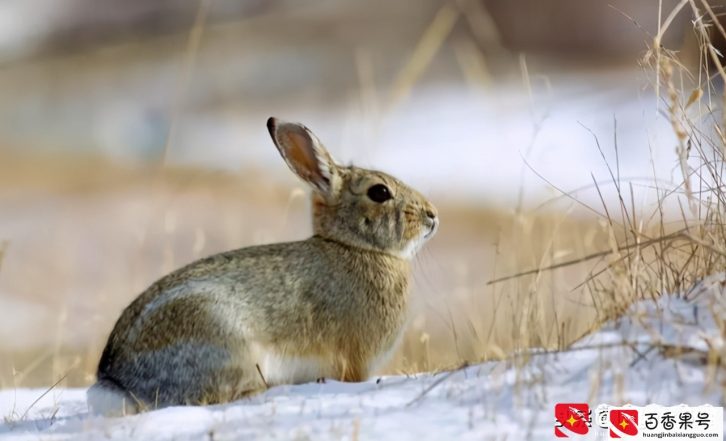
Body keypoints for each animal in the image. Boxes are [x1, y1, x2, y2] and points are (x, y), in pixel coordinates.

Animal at [85, 116, 438, 412]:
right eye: (379, 192)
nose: (432, 215)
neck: (355, 246)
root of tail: (117, 383)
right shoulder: (356, 360)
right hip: (225, 342)